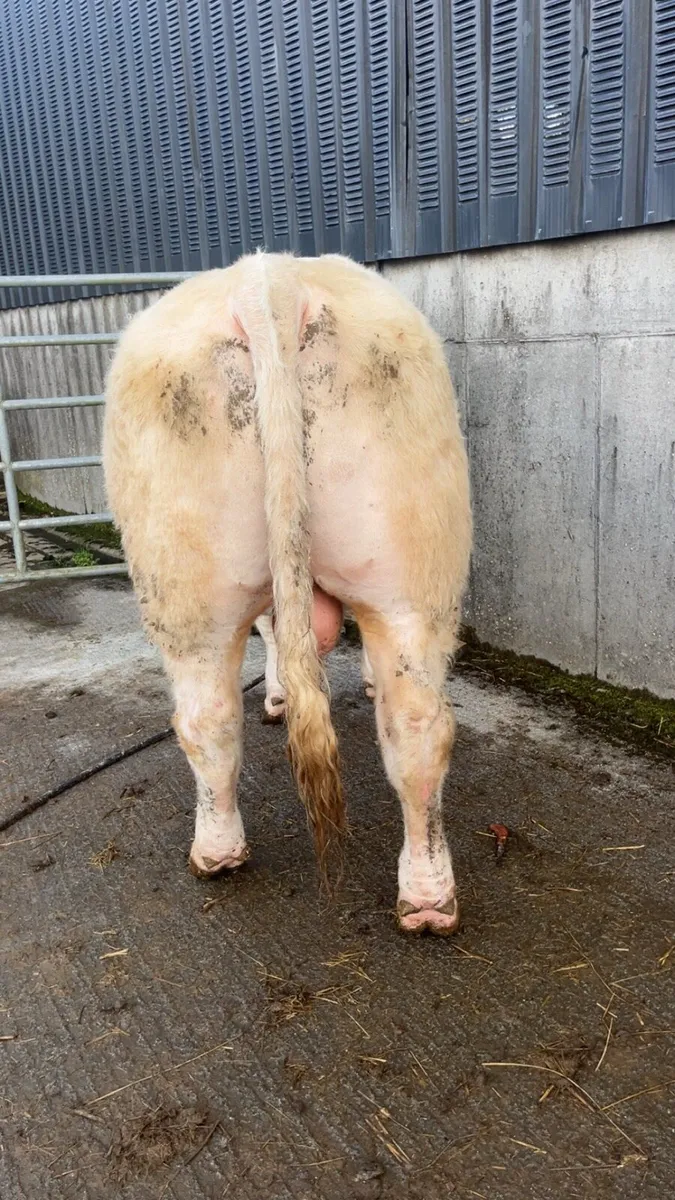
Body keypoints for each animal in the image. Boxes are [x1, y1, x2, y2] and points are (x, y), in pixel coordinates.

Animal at [103, 252, 472, 934]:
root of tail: (268, 281)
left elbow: (276, 631)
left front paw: (276, 693)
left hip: (190, 586)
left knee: (211, 717)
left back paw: (216, 851)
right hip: (401, 570)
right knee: (414, 725)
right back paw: (428, 896)